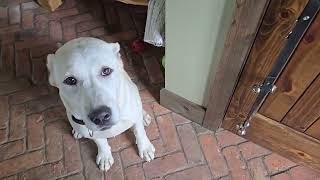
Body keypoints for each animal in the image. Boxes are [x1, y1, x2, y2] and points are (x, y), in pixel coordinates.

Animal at [46, 37, 155, 172]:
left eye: (106, 71)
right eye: (70, 80)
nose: (101, 116)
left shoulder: (134, 118)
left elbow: (139, 132)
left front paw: (145, 148)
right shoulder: (92, 132)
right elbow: (100, 142)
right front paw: (104, 156)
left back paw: (144, 117)